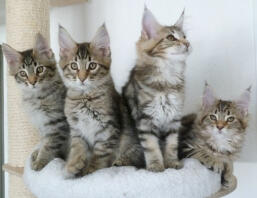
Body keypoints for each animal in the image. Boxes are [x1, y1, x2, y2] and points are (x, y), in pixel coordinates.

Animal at [2, 34, 68, 170]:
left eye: (40, 69)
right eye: (23, 73)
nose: (32, 82)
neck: (36, 98)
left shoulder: (57, 125)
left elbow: (49, 146)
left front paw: (40, 162)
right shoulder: (42, 126)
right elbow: (43, 142)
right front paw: (37, 154)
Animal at [57, 24, 123, 177]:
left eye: (92, 66)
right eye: (74, 66)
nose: (82, 78)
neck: (84, 97)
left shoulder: (108, 130)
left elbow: (99, 155)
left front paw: (90, 171)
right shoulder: (76, 130)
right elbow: (77, 147)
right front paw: (72, 165)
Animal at [123, 8, 189, 172]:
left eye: (185, 37)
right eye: (171, 37)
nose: (188, 43)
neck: (167, 79)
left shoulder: (174, 119)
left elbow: (172, 145)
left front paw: (172, 163)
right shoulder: (145, 119)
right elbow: (151, 147)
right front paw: (156, 166)